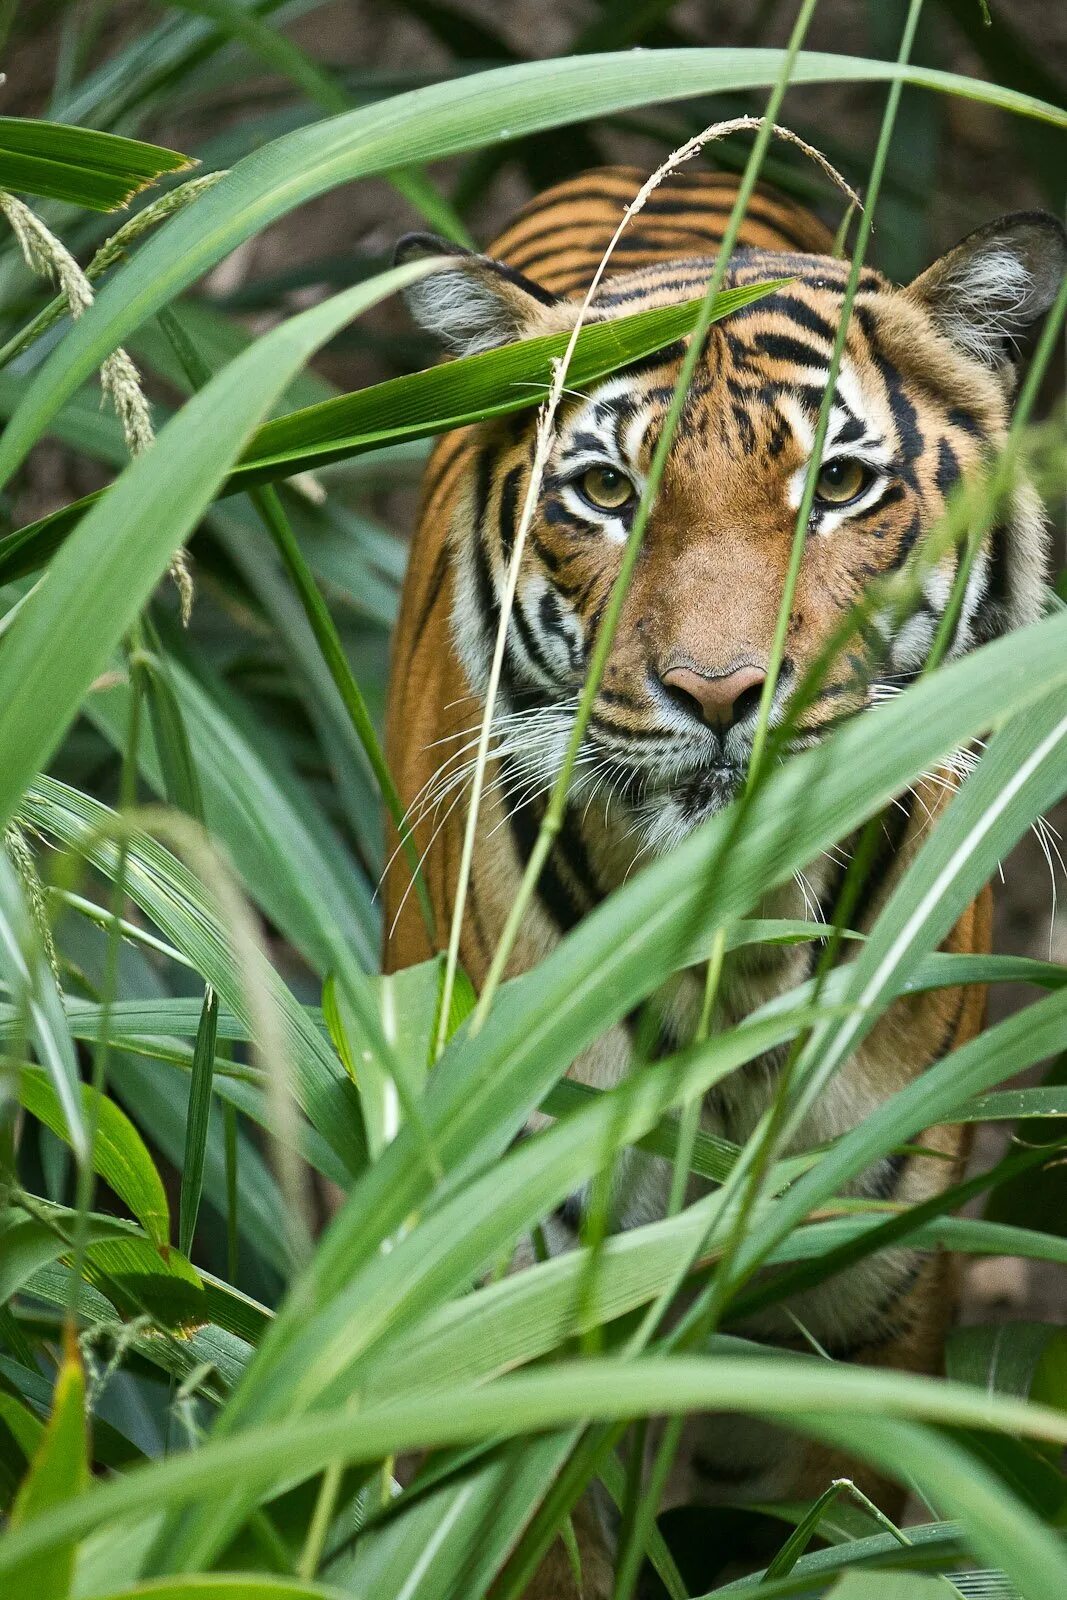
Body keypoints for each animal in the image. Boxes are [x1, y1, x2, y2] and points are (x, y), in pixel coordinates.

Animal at [379, 168, 1062, 1593]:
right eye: (603, 493)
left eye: (839, 485)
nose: (716, 690)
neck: (732, 947)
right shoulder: (508, 1297)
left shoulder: (862, 1288)